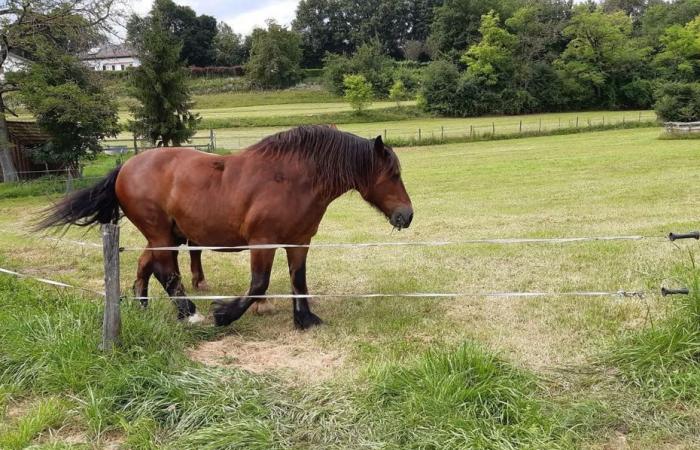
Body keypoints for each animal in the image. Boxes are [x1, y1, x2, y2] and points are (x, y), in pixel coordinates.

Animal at [39, 125, 410, 328]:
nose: (407, 215)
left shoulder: (299, 242)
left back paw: (141, 308)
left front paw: (305, 319)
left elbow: (298, 281)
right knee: (165, 271)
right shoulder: (263, 242)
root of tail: (125, 166)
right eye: (393, 174)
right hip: (161, 234)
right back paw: (190, 314)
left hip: (163, 235)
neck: (293, 178)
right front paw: (224, 313)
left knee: (145, 266)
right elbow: (259, 284)